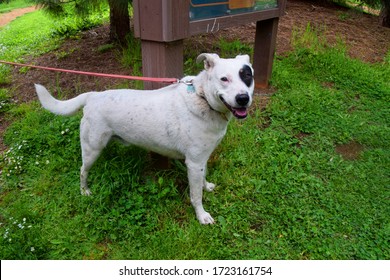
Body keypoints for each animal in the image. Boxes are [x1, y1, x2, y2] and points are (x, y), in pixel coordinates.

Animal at [35, 52, 254, 224]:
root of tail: (92, 96)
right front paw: (202, 216)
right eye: (224, 79)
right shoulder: (193, 162)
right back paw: (84, 191)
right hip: (91, 149)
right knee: (82, 171)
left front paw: (206, 186)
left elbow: (203, 180)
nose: (243, 98)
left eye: (247, 76)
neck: (203, 99)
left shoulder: (202, 158)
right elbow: (195, 195)